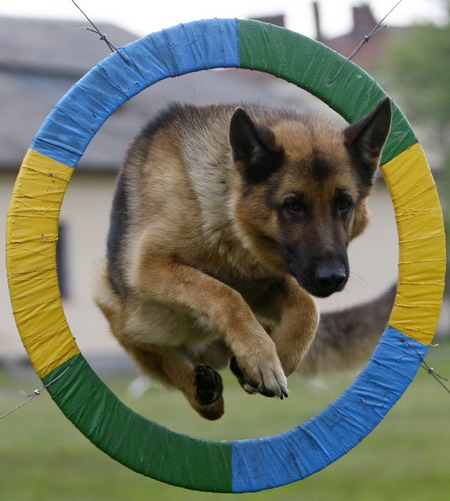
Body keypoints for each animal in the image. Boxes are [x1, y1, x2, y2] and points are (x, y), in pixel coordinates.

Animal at [95, 97, 390, 418]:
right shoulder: (152, 266)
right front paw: (261, 357)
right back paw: (202, 391)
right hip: (122, 311)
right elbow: (224, 294)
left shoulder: (265, 285)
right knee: (163, 363)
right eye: (294, 206)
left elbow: (307, 309)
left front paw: (279, 357)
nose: (331, 279)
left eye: (343, 204)